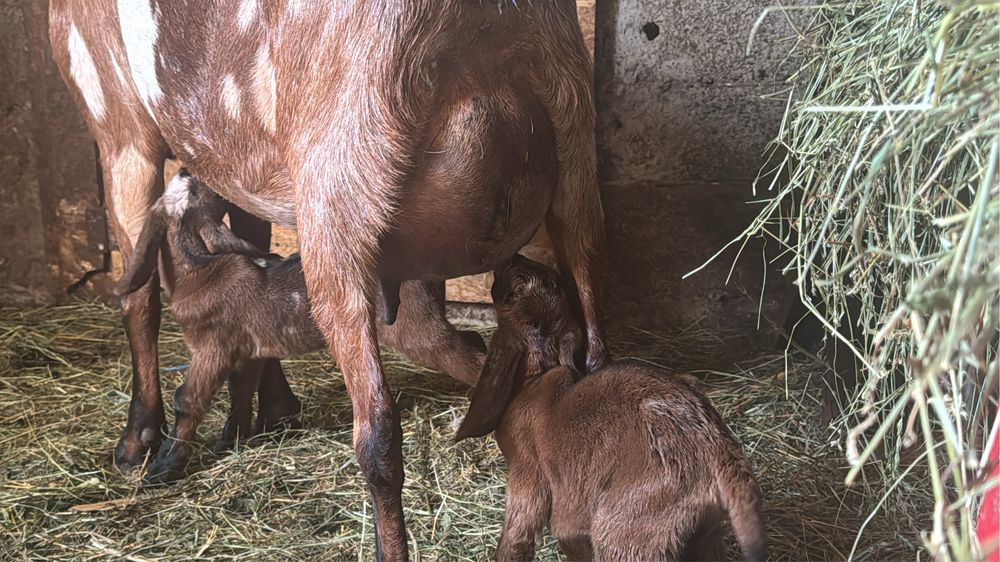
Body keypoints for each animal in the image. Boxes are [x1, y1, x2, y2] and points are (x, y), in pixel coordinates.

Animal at [118, 171, 487, 482]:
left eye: (197, 191)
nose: (184, 169)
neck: (199, 275)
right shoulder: (249, 349)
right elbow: (241, 388)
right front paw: (228, 441)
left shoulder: (213, 346)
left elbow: (188, 400)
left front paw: (164, 468)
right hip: (427, 322)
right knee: (472, 341)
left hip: (416, 331)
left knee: (470, 360)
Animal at [457, 256, 768, 562]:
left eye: (509, 290)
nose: (511, 256)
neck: (538, 375)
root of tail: (717, 454)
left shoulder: (527, 474)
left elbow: (518, 536)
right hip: (704, 534)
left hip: (625, 530)